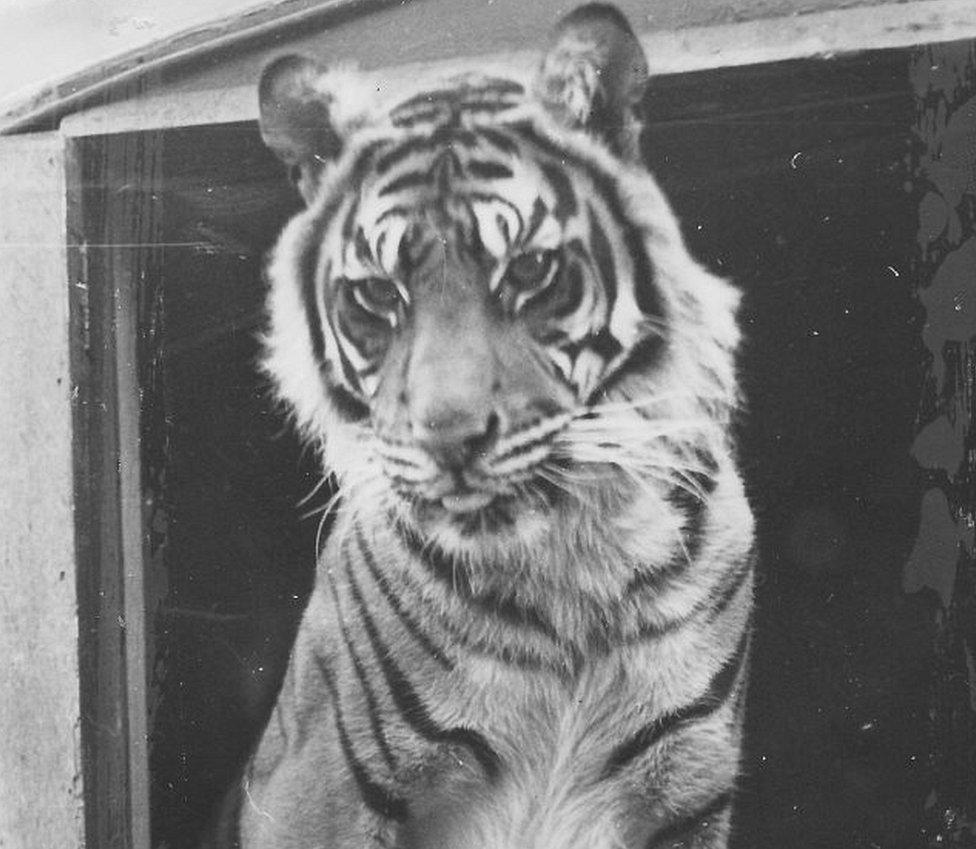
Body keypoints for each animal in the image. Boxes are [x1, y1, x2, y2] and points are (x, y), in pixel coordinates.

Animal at [223, 3, 756, 848]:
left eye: (529, 271)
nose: (448, 437)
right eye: (378, 294)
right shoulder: (314, 789)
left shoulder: (689, 790)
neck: (573, 572)